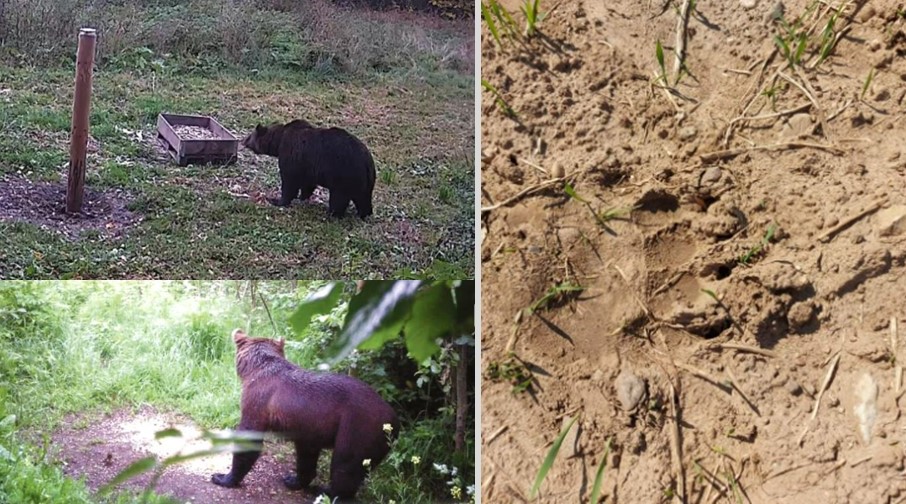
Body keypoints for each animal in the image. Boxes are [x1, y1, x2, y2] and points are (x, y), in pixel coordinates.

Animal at [212, 326, 400, 500]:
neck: (255, 369)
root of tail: (394, 419)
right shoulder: (309, 427)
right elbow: (306, 455)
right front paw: (293, 480)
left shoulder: (258, 402)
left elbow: (249, 436)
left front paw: (222, 477)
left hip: (358, 428)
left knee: (345, 465)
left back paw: (326, 491)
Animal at [240, 121, 374, 220]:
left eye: (249, 137)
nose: (242, 141)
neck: (279, 140)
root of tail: (367, 163)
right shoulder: (308, 167)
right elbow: (308, 183)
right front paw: (303, 196)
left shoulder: (293, 155)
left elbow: (289, 182)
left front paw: (277, 200)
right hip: (364, 182)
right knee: (363, 199)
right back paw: (364, 213)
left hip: (343, 174)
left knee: (339, 198)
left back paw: (332, 214)